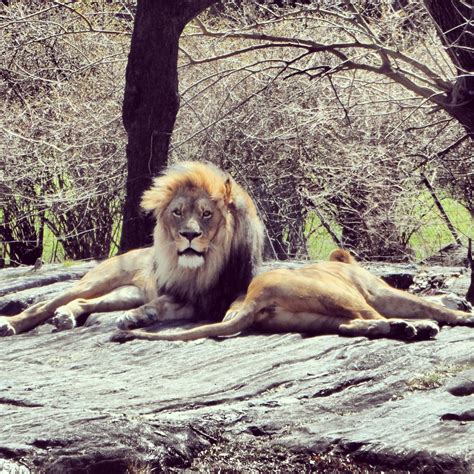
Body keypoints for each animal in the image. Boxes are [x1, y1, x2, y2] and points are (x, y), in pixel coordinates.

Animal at [0, 163, 264, 336]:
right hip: (97, 281)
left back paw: (65, 316)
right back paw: (10, 324)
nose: (189, 235)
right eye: (177, 212)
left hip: (125, 294)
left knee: (85, 302)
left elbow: (242, 297)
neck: (209, 265)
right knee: (44, 305)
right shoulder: (184, 296)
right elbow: (158, 303)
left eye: (206, 213)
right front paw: (136, 317)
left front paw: (233, 312)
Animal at [112, 248, 474, 344]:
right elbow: (426, 303)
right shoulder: (380, 291)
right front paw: (464, 313)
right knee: (373, 318)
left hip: (315, 316)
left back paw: (403, 328)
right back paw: (416, 327)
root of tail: (255, 296)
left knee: (351, 326)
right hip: (341, 295)